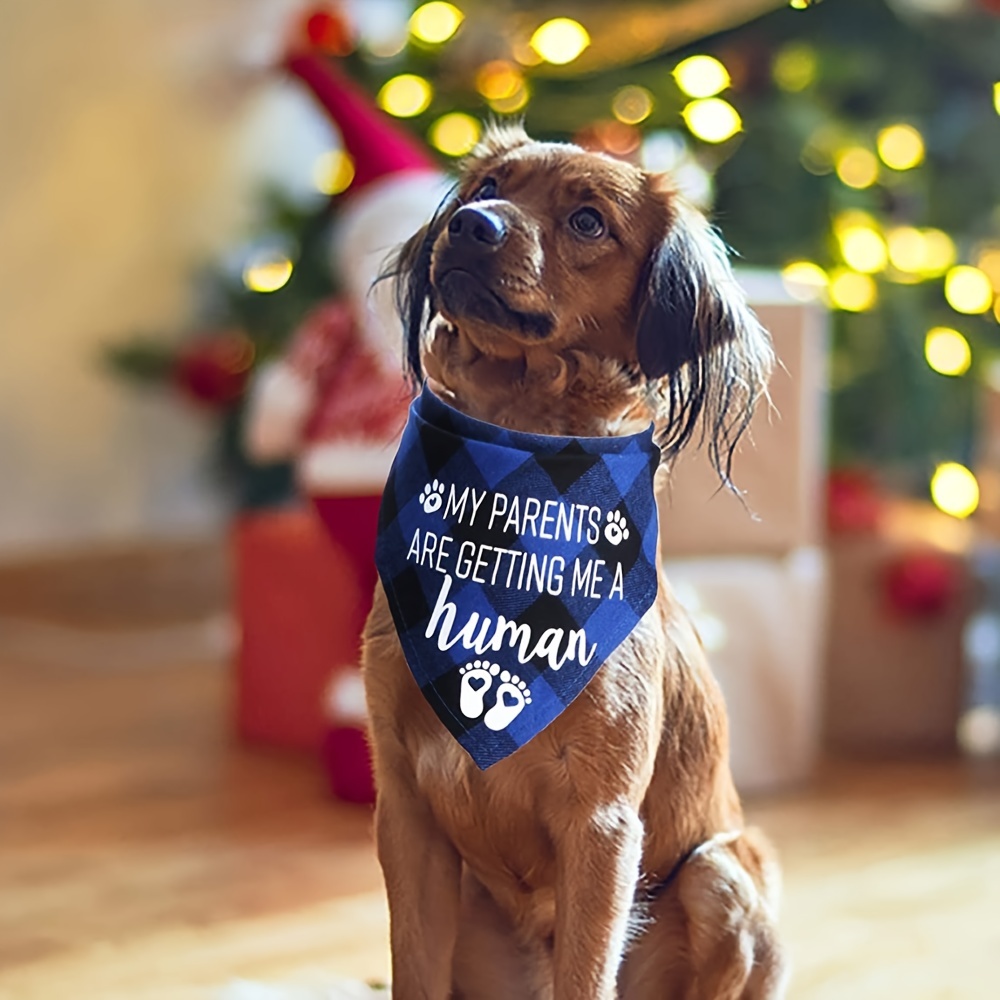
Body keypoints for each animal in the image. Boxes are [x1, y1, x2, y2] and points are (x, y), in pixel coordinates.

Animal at [364, 127, 784, 1000]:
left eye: (589, 221)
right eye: (487, 186)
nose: (472, 225)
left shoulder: (600, 824)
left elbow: (587, 973)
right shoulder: (405, 812)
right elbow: (410, 970)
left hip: (723, 872)